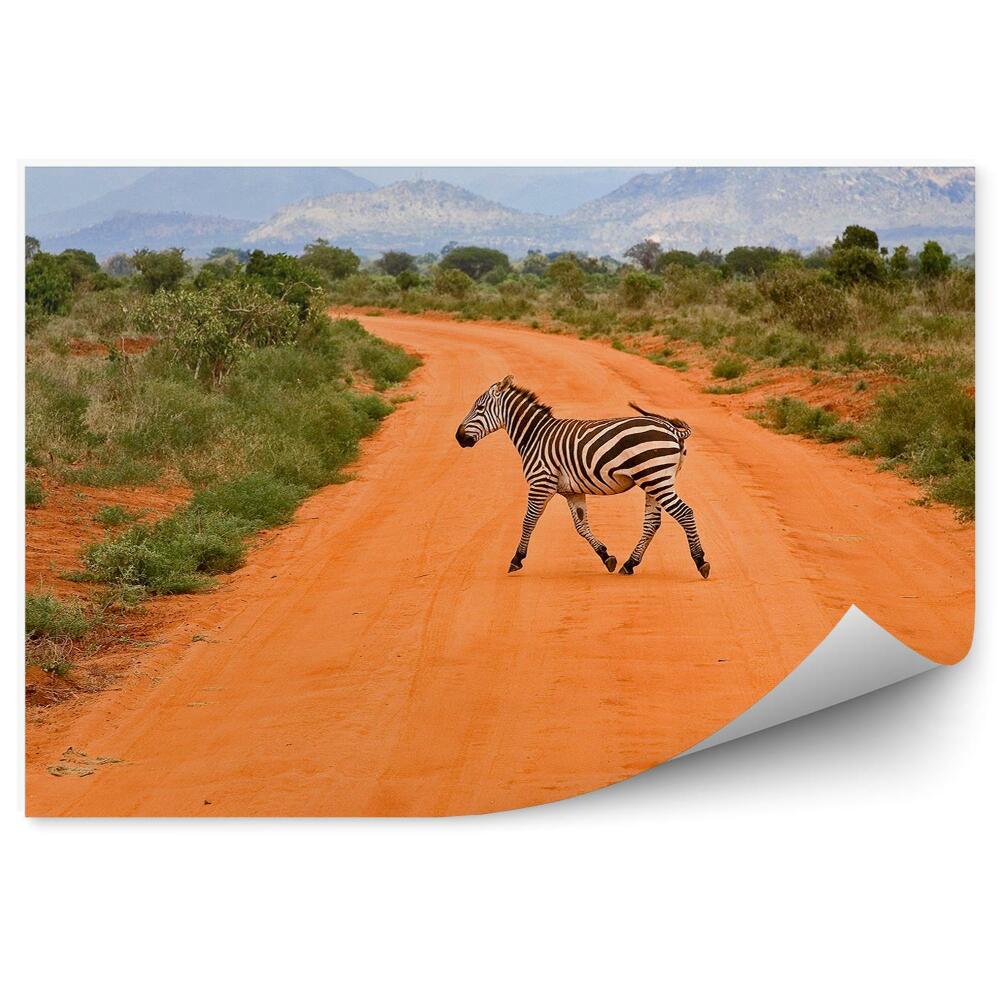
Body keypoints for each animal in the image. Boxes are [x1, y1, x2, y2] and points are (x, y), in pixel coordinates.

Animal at [455, 375, 710, 578]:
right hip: (653, 480)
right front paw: (606, 556)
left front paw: (516, 559)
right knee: (652, 523)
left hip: (656, 478)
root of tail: (673, 430)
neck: (535, 435)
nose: (458, 437)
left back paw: (701, 561)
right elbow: (581, 526)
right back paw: (629, 564)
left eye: (479, 408)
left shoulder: (540, 483)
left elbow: (529, 521)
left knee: (685, 513)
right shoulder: (572, 491)